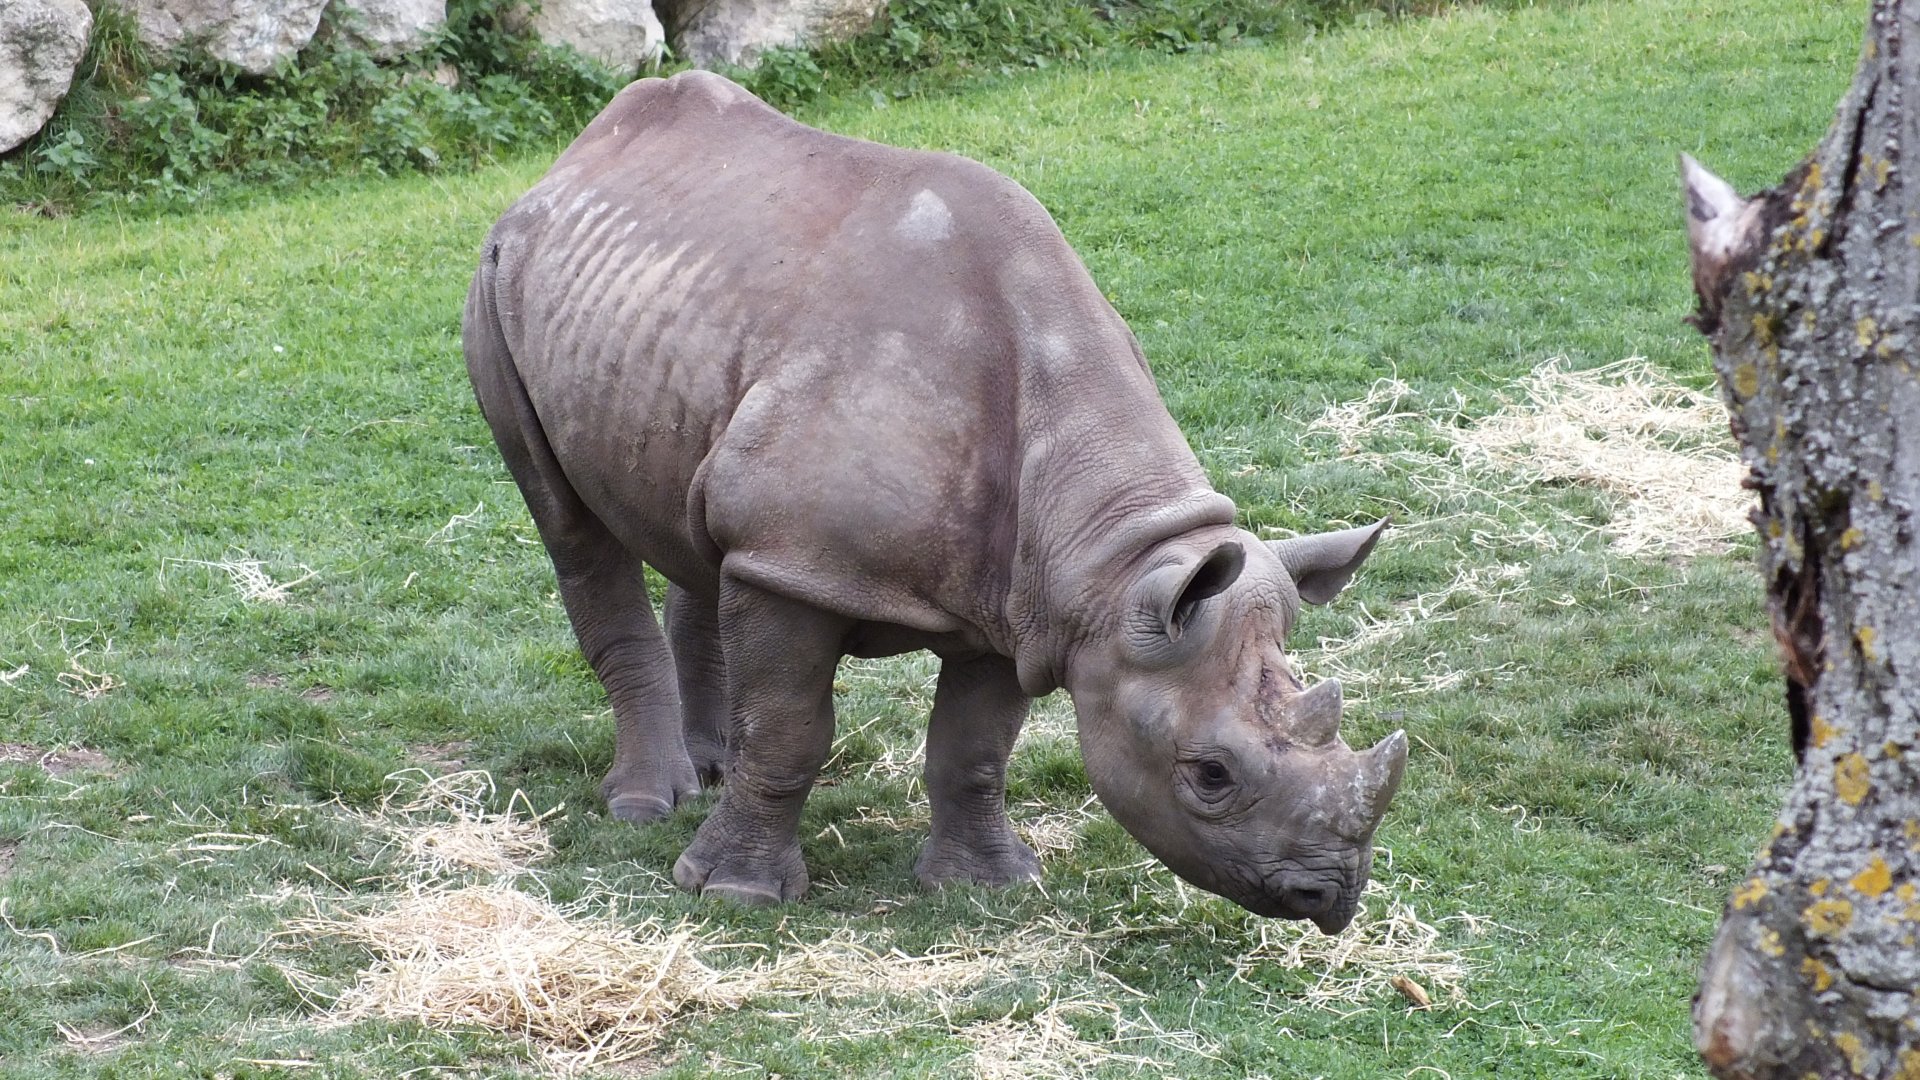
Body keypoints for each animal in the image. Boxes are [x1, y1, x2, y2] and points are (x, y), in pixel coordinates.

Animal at [462, 70, 1407, 932]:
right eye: (1210, 775)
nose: (1331, 898)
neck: (1116, 559)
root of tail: (576, 155)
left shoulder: (1033, 596)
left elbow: (975, 747)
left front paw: (985, 885)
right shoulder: (799, 566)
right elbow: (788, 728)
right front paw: (733, 894)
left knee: (701, 534)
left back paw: (710, 770)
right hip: (496, 277)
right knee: (571, 524)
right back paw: (648, 804)